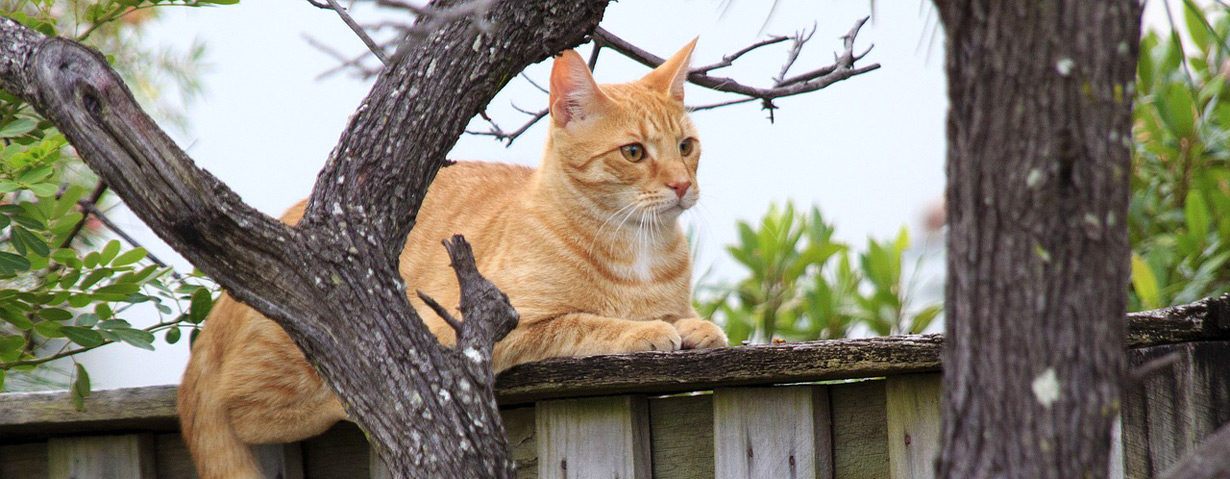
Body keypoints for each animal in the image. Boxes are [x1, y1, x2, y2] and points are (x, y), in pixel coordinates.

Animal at [178, 39, 723, 475]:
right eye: (633, 153)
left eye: (686, 146)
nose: (683, 185)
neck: (639, 246)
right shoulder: (494, 328)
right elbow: (583, 323)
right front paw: (645, 329)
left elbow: (679, 315)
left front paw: (695, 326)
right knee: (245, 409)